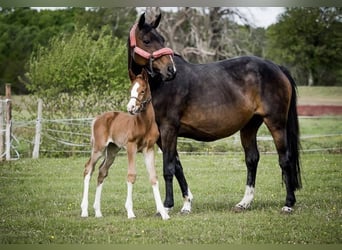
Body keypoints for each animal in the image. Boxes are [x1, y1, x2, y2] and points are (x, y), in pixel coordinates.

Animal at [80, 69, 171, 221]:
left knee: (102, 171)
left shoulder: (149, 149)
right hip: (98, 148)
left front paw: (163, 213)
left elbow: (153, 177)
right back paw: (84, 211)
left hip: (112, 150)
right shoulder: (131, 147)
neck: (144, 123)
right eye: (131, 89)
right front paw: (130, 212)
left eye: (142, 90)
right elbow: (131, 175)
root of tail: (97, 118)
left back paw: (98, 211)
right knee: (88, 169)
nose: (131, 108)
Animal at [128, 13, 302, 213]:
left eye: (162, 39)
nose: (170, 70)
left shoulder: (168, 129)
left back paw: (288, 203)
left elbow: (168, 167)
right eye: (147, 40)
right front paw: (187, 203)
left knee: (285, 159)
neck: (159, 84)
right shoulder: (161, 135)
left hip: (276, 123)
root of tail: (277, 67)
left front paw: (166, 205)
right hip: (249, 126)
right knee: (252, 159)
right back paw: (244, 202)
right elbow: (178, 166)